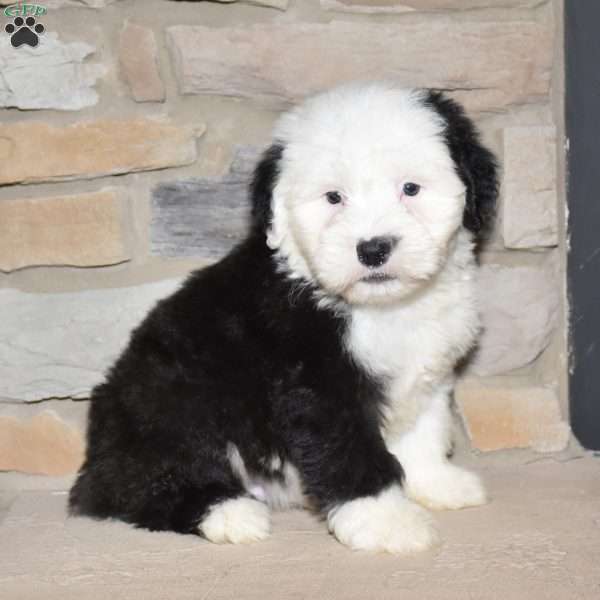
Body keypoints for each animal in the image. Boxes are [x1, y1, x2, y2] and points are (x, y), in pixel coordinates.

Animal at [70, 83, 500, 552]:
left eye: (410, 188)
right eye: (333, 198)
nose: (372, 249)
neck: (383, 308)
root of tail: (98, 452)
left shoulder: (427, 370)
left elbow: (423, 432)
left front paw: (436, 484)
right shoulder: (318, 385)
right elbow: (351, 452)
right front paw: (387, 521)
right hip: (172, 398)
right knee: (137, 485)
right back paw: (229, 513)